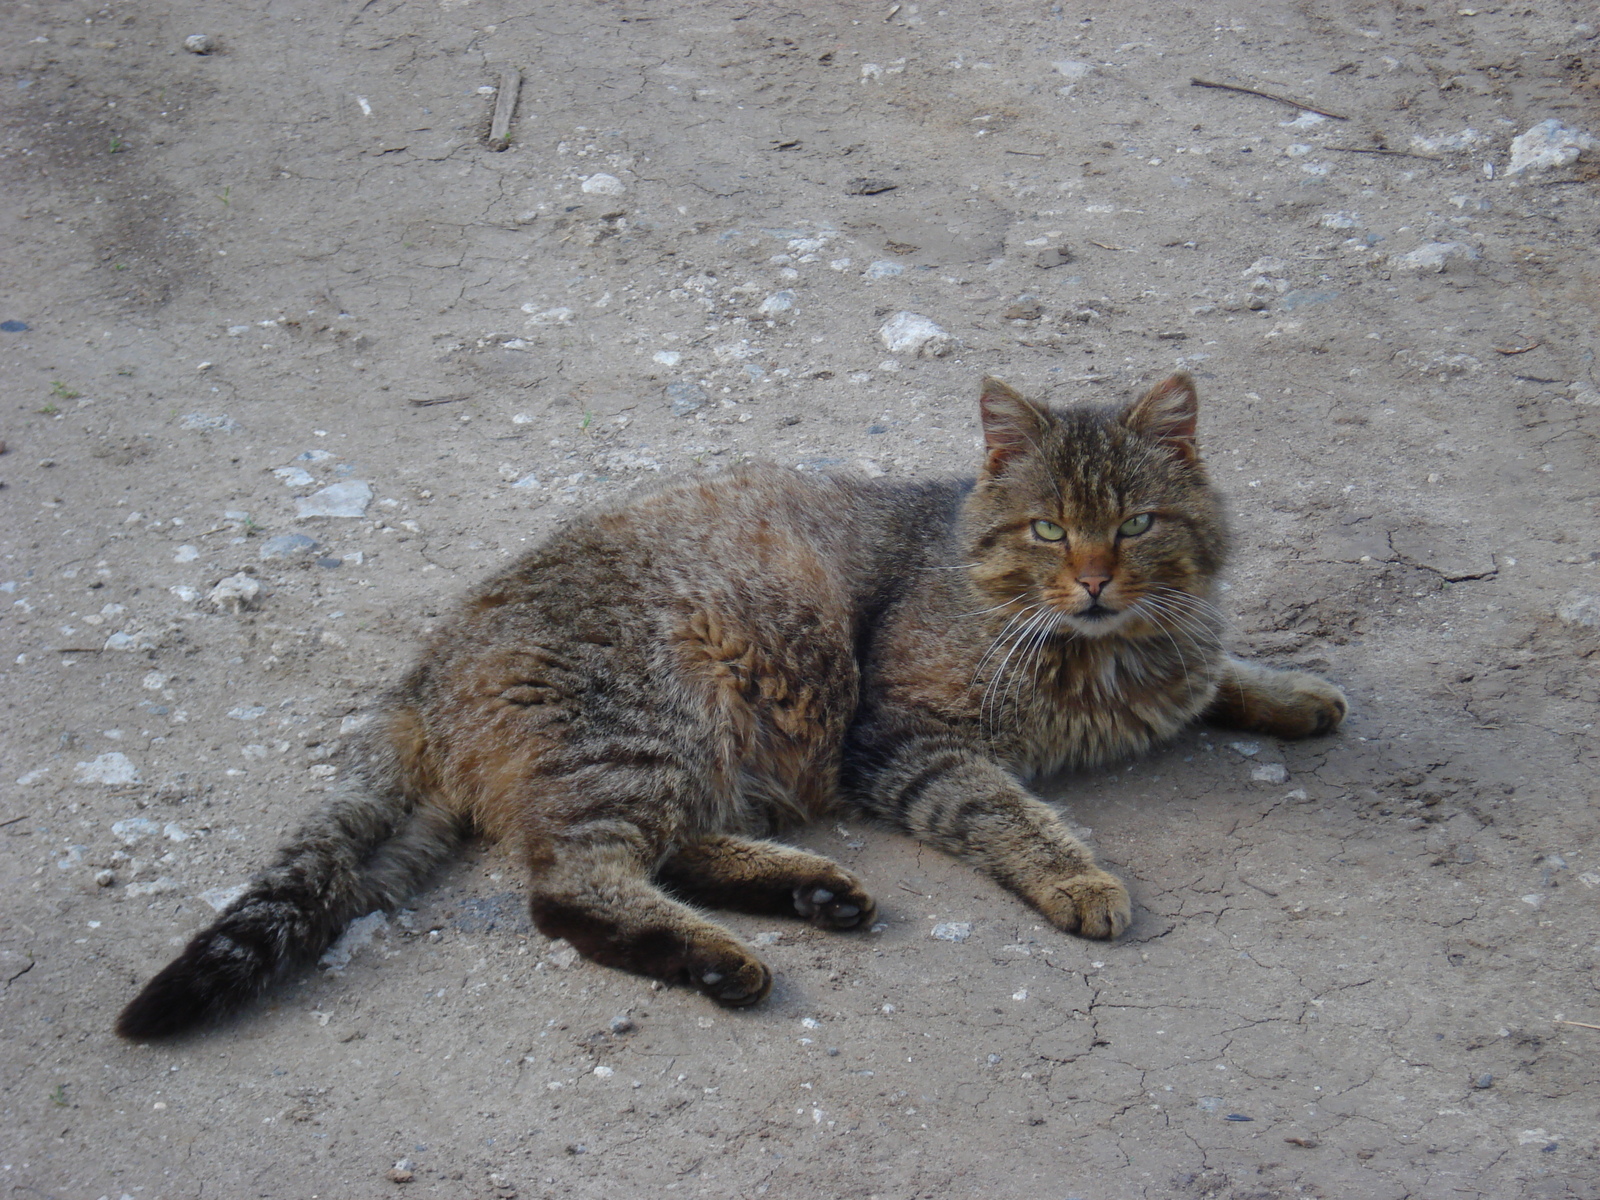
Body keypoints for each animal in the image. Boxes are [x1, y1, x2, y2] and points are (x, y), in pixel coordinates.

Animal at [112, 376, 1344, 1043]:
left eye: (1135, 524)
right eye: (1049, 528)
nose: (1091, 580)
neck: (1097, 653)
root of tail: (426, 667)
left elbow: (1213, 675)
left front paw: (1291, 690)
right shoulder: (906, 739)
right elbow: (1007, 809)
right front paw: (1080, 876)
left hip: (688, 757)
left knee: (668, 853)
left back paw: (809, 893)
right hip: (649, 726)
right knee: (571, 888)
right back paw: (721, 957)